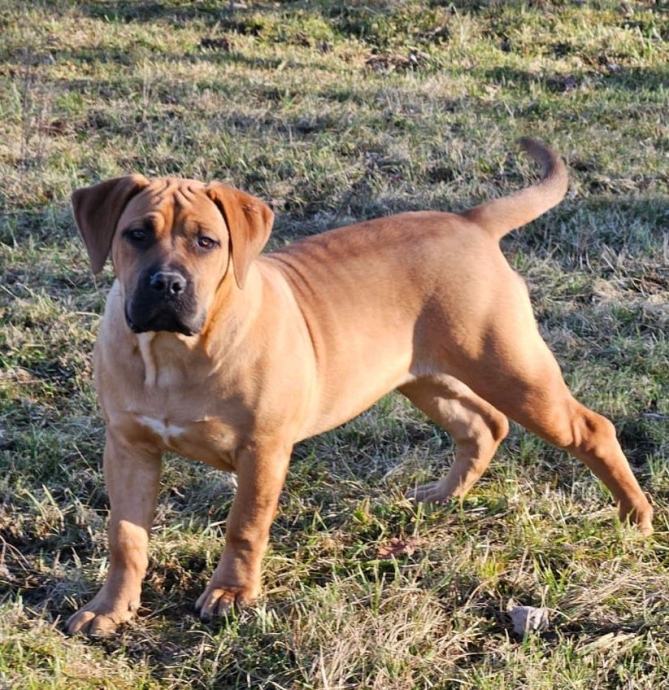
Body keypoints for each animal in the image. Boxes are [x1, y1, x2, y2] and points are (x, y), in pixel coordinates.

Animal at [67, 138, 653, 636]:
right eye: (136, 235)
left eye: (206, 242)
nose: (166, 284)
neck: (172, 352)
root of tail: (470, 223)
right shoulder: (129, 448)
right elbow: (126, 537)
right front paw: (110, 608)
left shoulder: (262, 450)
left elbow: (244, 526)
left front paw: (232, 594)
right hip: (423, 377)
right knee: (484, 424)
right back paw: (442, 497)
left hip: (512, 370)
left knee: (590, 428)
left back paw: (636, 516)